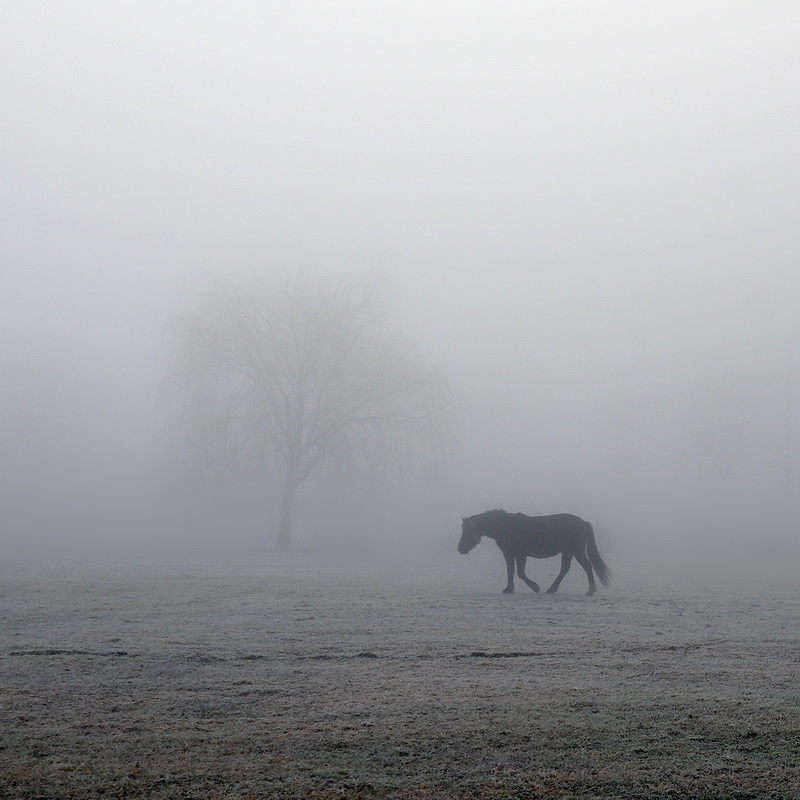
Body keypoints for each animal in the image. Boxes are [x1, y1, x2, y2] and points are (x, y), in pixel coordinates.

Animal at [458, 509, 611, 595]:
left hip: (576, 551)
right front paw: (509, 588)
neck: (505, 526)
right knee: (565, 569)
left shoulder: (516, 554)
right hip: (567, 552)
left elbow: (518, 572)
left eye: (466, 530)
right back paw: (551, 589)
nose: (460, 549)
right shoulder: (513, 554)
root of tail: (583, 523)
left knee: (587, 566)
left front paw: (534, 587)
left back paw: (590, 590)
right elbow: (512, 571)